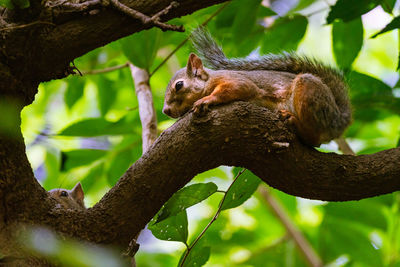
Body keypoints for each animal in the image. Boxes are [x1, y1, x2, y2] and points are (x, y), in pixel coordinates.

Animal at [162, 27, 350, 147]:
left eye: (179, 85)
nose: (166, 110)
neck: (210, 80)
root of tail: (340, 119)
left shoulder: (236, 80)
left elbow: (239, 88)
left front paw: (206, 99)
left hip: (310, 95)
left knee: (313, 139)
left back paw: (294, 122)